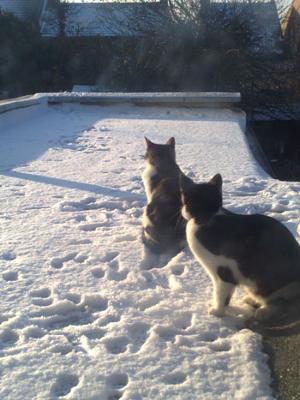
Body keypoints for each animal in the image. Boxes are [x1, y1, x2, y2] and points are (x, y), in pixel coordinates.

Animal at [180, 173, 300, 320]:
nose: (182, 211)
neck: (208, 216)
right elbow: (227, 295)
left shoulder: (223, 271)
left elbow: (220, 294)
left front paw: (217, 312)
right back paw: (251, 300)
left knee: (281, 303)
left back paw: (264, 311)